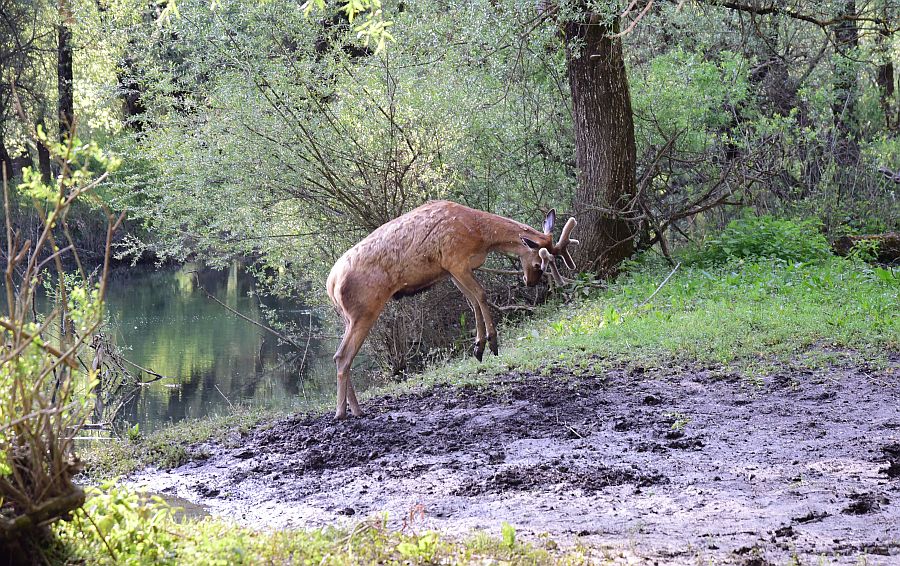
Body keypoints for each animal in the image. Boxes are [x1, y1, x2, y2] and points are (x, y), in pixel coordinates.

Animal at [326, 202, 580, 420]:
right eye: (539, 264)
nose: (530, 282)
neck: (480, 234)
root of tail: (331, 285)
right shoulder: (455, 259)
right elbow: (481, 295)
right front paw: (492, 341)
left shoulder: (451, 269)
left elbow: (472, 301)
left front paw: (478, 346)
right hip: (365, 309)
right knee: (343, 356)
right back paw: (342, 413)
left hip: (348, 317)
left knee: (340, 355)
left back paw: (355, 409)